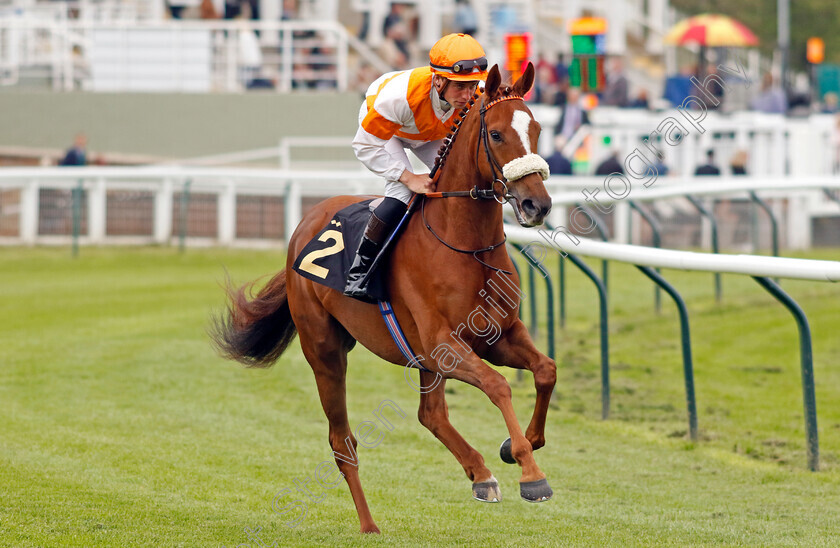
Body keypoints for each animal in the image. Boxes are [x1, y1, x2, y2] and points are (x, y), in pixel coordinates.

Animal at [210, 63, 556, 532]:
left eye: (536, 129)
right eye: (498, 134)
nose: (537, 204)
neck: (464, 244)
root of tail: (303, 227)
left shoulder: (496, 336)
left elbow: (546, 370)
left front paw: (522, 445)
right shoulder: (444, 343)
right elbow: (499, 386)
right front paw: (531, 473)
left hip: (419, 359)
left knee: (430, 415)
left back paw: (480, 474)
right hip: (325, 350)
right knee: (343, 441)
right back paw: (369, 524)